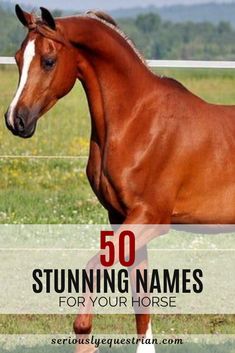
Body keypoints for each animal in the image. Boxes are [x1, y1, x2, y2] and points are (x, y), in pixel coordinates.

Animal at [4, 4, 235, 352]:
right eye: (18, 58)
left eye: (48, 60)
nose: (15, 120)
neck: (138, 121)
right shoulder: (121, 217)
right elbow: (140, 294)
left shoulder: (149, 218)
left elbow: (92, 267)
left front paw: (85, 339)